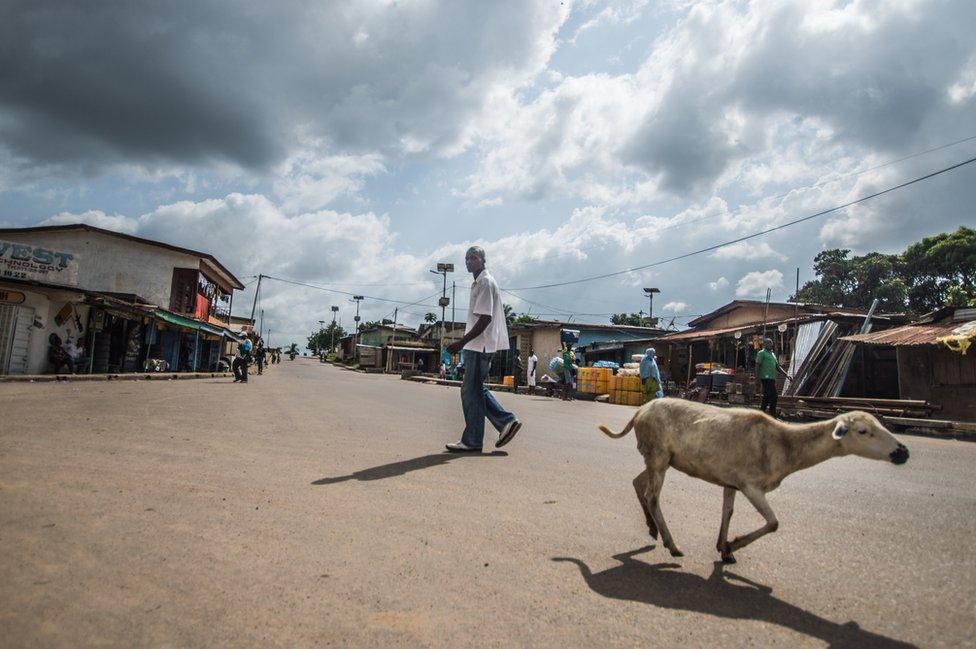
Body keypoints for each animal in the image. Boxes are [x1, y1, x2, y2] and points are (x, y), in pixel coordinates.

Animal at [600, 398, 912, 560]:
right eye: (863, 431)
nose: (902, 451)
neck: (785, 447)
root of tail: (640, 411)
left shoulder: (731, 481)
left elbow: (728, 511)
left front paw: (723, 548)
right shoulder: (751, 484)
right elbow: (773, 523)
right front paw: (732, 545)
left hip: (659, 458)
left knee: (639, 483)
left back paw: (653, 529)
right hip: (658, 454)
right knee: (652, 496)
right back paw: (672, 545)